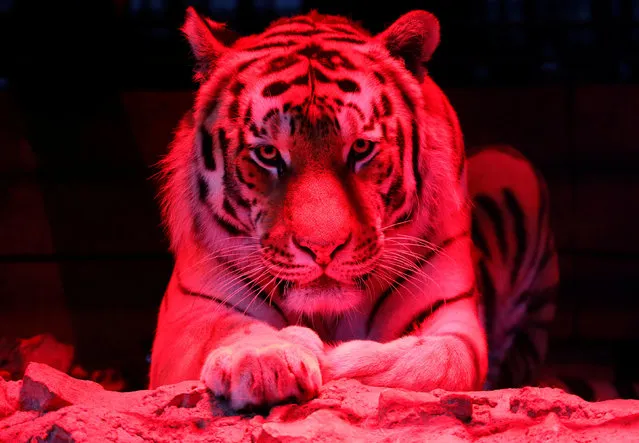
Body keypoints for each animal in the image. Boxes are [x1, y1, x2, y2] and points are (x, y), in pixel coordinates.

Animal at [150, 6, 560, 412]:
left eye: (361, 148)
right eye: (267, 153)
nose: (322, 250)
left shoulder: (454, 319)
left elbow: (438, 359)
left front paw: (328, 356)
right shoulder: (189, 316)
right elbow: (230, 329)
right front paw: (265, 358)